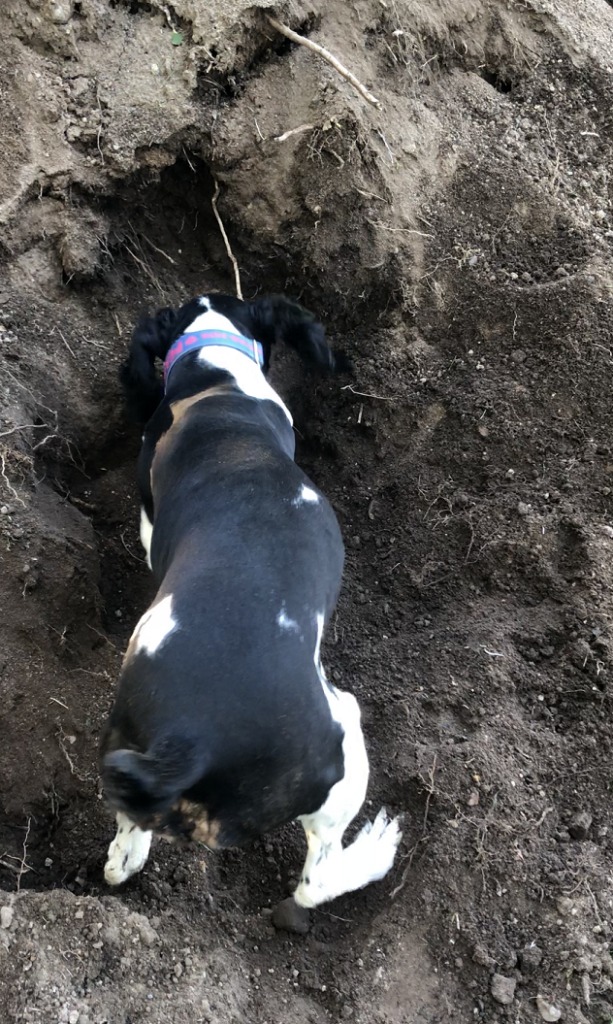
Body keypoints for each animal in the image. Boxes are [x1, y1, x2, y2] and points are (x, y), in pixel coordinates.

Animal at [100, 292, 403, 909]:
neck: (216, 376)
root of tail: (187, 740)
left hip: (128, 742)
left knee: (128, 846)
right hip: (342, 743)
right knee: (314, 882)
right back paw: (375, 850)